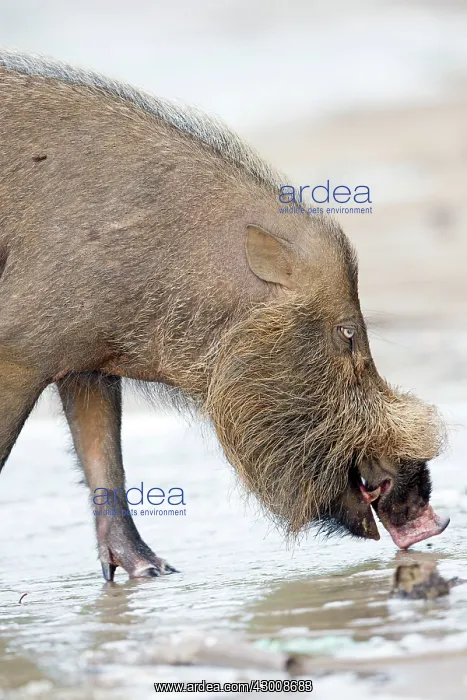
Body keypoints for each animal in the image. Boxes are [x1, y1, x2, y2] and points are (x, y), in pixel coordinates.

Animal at [0, 51, 449, 580]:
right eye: (348, 333)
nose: (436, 521)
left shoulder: (83, 362)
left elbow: (104, 461)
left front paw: (155, 573)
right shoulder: (23, 354)